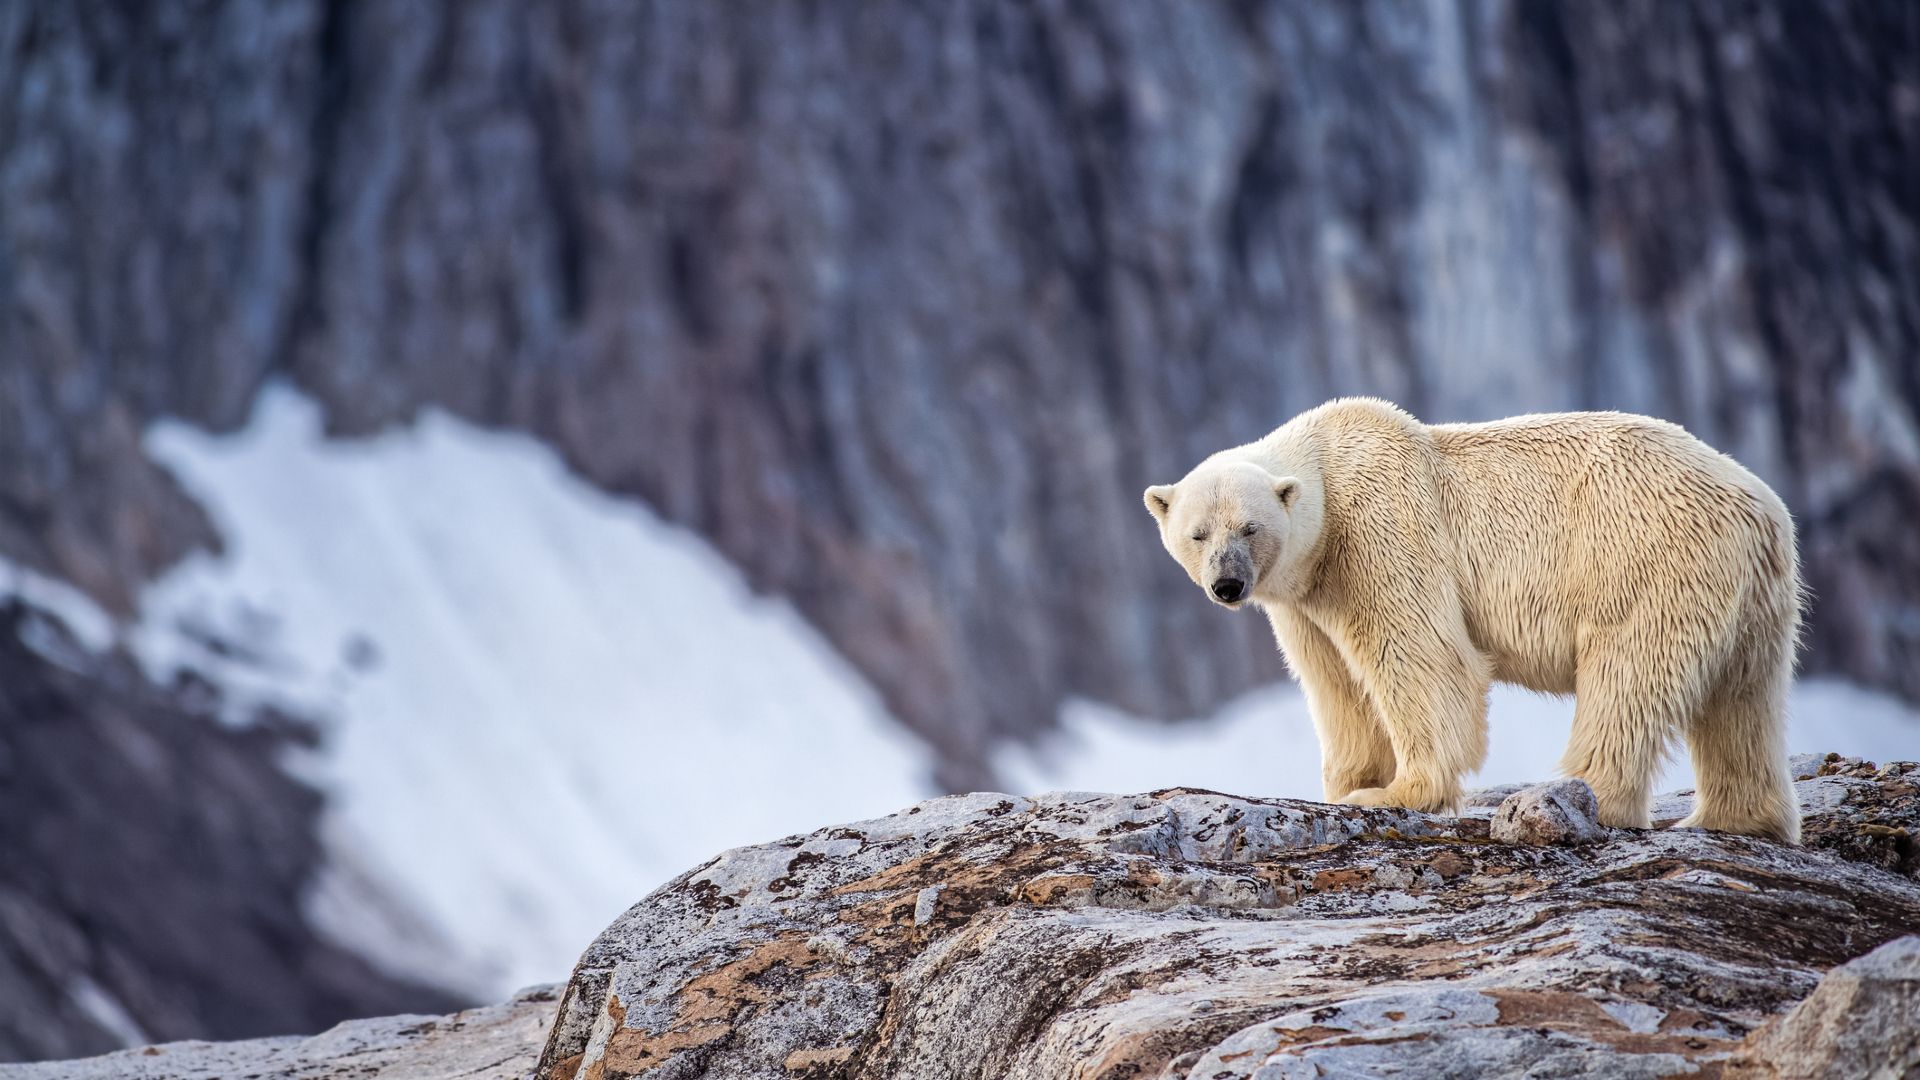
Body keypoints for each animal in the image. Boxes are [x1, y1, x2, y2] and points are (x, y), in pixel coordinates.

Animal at [1144, 397, 1802, 843]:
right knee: (1742, 698)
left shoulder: (1380, 528)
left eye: (1249, 528)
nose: (1228, 585)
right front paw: (1346, 787)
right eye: (1198, 533)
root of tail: (1761, 510)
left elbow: (1423, 657)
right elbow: (1337, 685)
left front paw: (1393, 792)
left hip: (1645, 558)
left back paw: (1580, 798)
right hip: (1753, 598)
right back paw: (1735, 818)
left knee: (1629, 675)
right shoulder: (1306, 597)